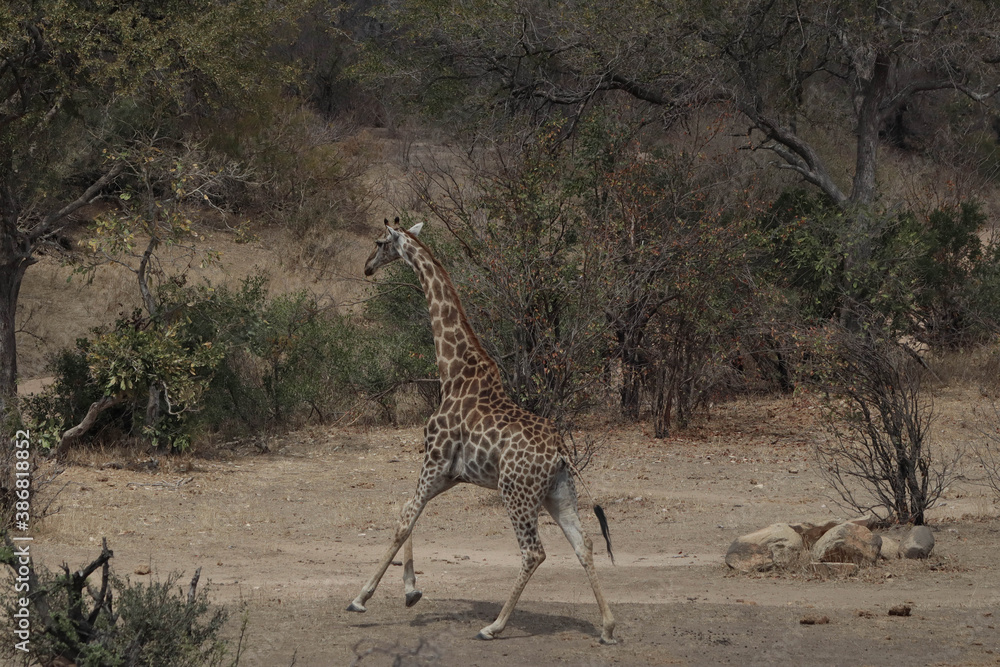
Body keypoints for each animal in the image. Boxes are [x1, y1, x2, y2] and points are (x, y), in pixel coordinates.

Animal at [347, 218, 617, 644]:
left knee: (534, 552)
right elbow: (407, 511)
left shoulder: (434, 460)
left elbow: (404, 519)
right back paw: (606, 627)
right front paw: (410, 591)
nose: (368, 267)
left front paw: (361, 598)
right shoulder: (451, 474)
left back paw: (493, 626)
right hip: (558, 493)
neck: (453, 370)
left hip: (516, 492)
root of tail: (560, 452)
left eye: (379, 242)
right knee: (585, 543)